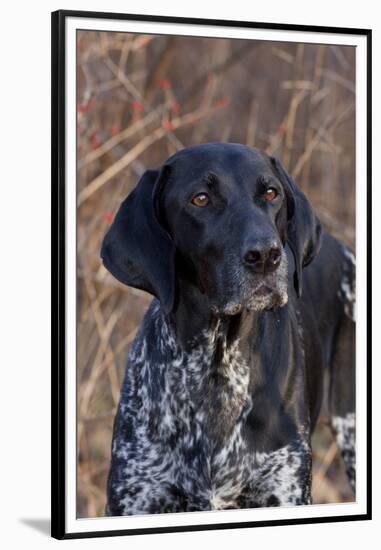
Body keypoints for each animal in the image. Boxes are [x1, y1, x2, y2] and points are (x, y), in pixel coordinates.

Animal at [100, 142, 354, 516]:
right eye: (201, 199)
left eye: (271, 193)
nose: (265, 255)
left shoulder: (284, 489)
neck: (216, 369)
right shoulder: (135, 497)